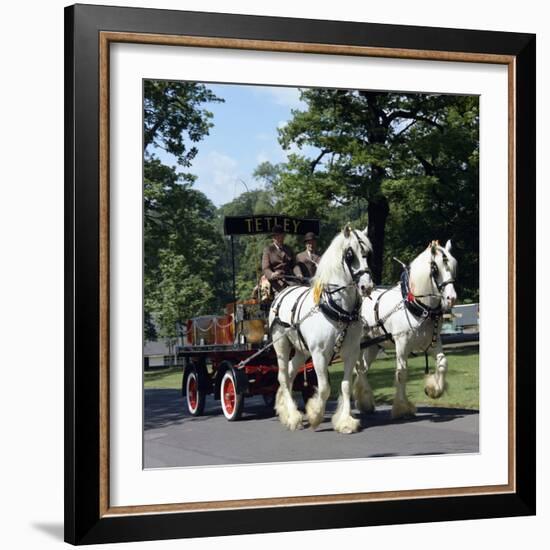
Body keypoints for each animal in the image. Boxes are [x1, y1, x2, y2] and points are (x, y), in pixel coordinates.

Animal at [270, 226, 376, 434]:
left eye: (368, 253)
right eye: (350, 255)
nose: (366, 286)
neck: (338, 309)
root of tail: (282, 293)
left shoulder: (351, 352)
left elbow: (345, 386)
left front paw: (345, 421)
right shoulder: (319, 354)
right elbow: (325, 388)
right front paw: (315, 415)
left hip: (301, 350)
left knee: (291, 372)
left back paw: (284, 409)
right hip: (281, 345)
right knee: (283, 376)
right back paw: (293, 417)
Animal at [356, 240, 460, 418]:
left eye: (453, 266)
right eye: (435, 269)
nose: (451, 298)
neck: (419, 307)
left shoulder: (432, 343)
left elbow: (442, 363)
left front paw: (434, 390)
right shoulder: (402, 345)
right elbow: (402, 373)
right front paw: (402, 407)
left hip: (373, 346)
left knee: (362, 368)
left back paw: (365, 402)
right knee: (359, 367)